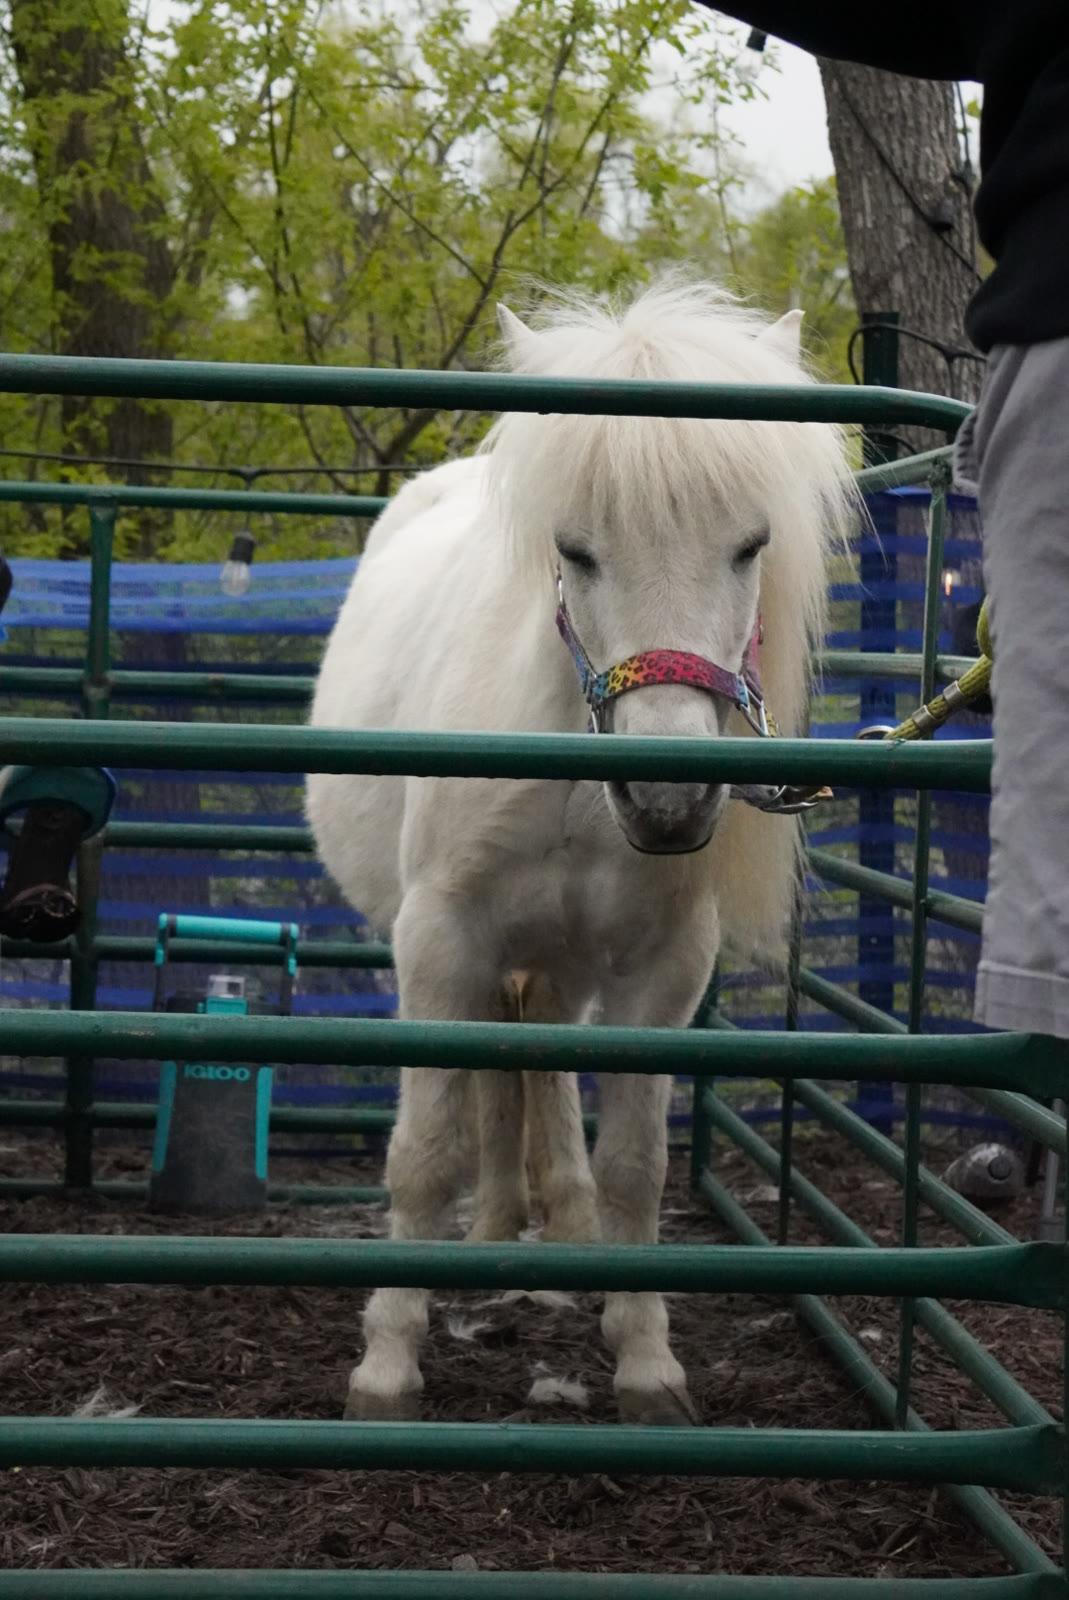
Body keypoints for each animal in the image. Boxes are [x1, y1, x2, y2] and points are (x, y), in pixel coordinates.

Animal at [306, 280, 855, 1425]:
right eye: (576, 547)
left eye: (750, 544)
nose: (667, 799)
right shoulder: (440, 943)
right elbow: (423, 1154)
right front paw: (387, 1363)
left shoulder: (661, 973)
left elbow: (637, 1165)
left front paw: (645, 1357)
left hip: (558, 963)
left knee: (545, 1066)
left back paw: (556, 1238)